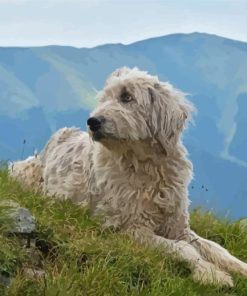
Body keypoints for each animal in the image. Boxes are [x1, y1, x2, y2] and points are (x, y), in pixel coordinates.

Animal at [10, 67, 247, 286]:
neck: (149, 168)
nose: (92, 121)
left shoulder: (179, 227)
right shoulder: (128, 228)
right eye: (104, 98)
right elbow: (184, 249)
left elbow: (215, 248)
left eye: (126, 96)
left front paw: (239, 268)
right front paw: (211, 273)